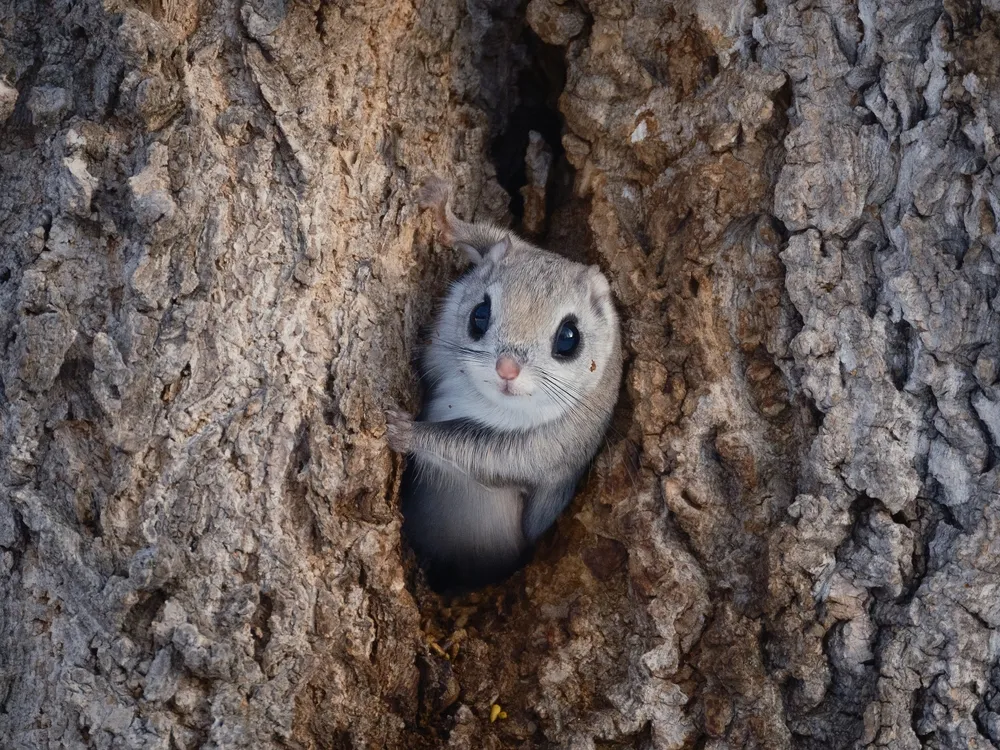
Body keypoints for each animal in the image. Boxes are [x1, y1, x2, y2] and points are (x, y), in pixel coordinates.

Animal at [386, 176, 623, 591]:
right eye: (479, 314)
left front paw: (407, 432)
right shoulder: (521, 248)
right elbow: (494, 237)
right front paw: (443, 212)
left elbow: (476, 452)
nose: (507, 368)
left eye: (569, 337)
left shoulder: (548, 449)